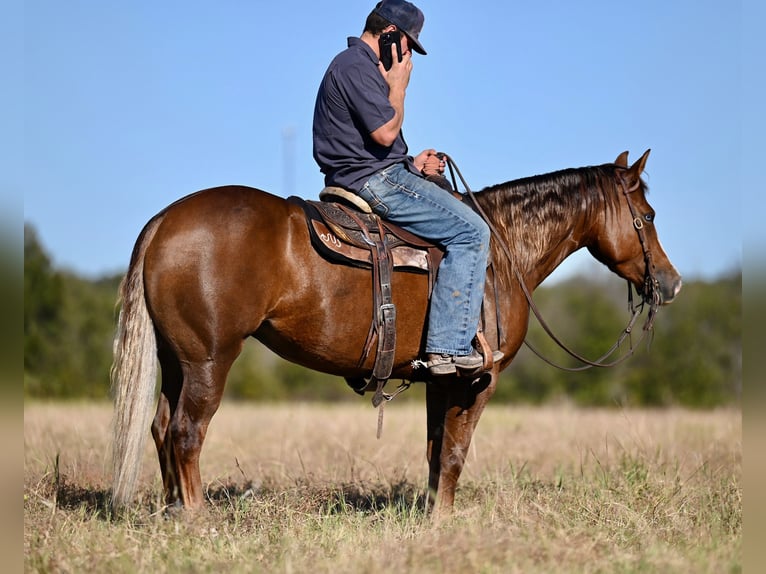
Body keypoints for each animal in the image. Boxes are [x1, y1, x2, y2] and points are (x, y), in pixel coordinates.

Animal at [109, 150, 684, 520]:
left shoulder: (441, 381)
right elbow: (454, 454)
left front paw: (430, 518)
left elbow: (435, 453)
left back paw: (170, 513)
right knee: (187, 432)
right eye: (648, 214)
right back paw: (196, 517)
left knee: (161, 428)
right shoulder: (478, 382)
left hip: (176, 361)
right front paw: (444, 525)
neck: (501, 253)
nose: (672, 283)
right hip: (209, 360)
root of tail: (164, 221)